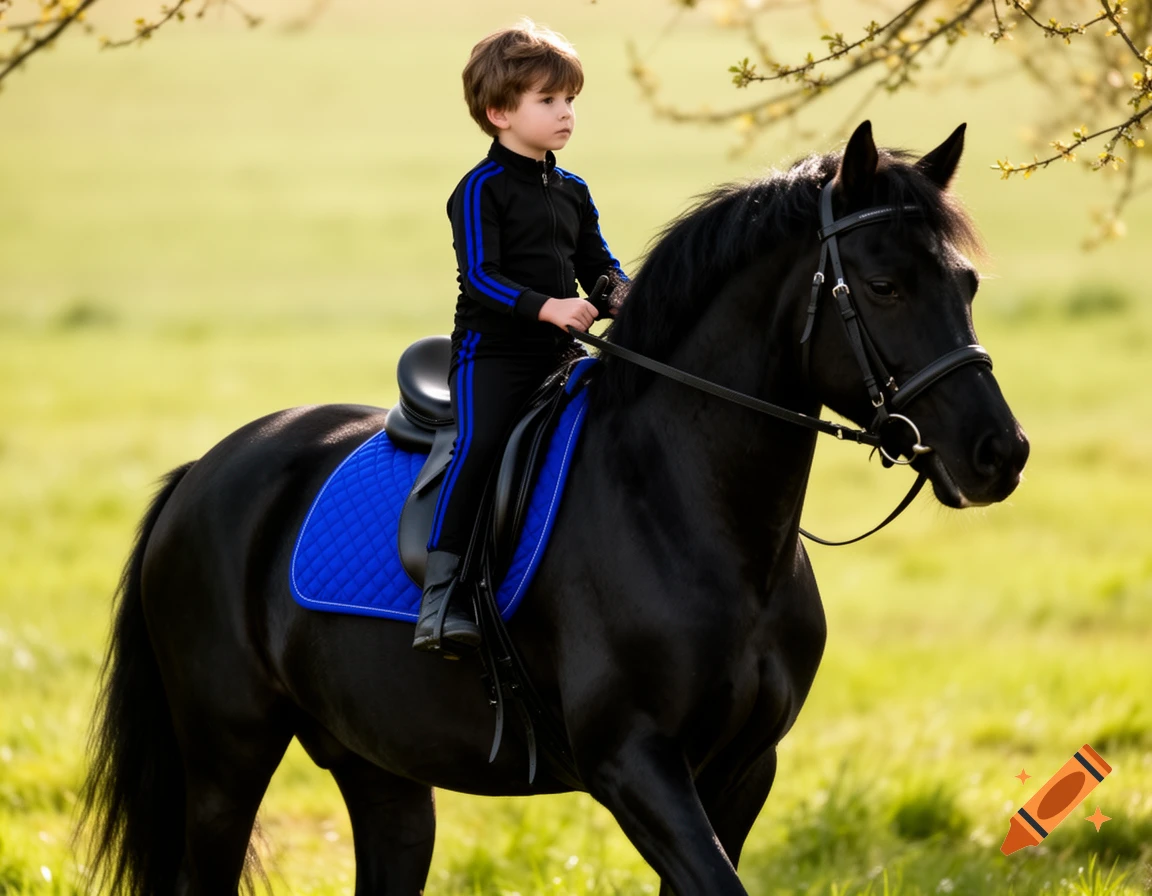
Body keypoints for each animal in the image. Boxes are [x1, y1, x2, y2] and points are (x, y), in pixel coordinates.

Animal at [78, 121, 1029, 896]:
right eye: (884, 285)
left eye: (967, 282)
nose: (1000, 453)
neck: (694, 515)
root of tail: (207, 469)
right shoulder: (633, 764)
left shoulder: (743, 768)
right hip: (225, 758)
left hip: (380, 771)